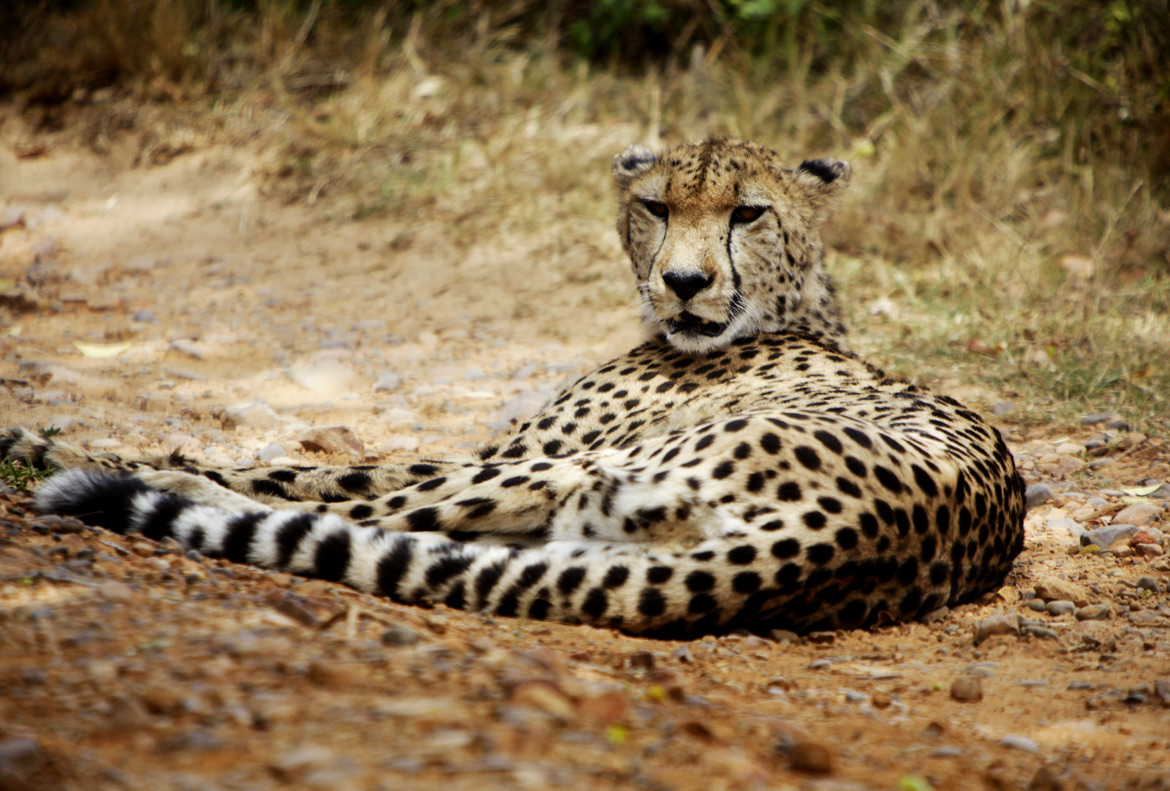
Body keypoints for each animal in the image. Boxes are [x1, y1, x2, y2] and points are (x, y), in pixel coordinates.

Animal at [4, 140, 1020, 636]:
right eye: (656, 207)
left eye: (748, 213)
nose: (685, 283)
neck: (787, 309)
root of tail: (856, 535)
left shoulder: (522, 449)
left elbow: (309, 472)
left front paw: (53, 445)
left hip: (571, 473)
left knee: (368, 513)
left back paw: (159, 484)